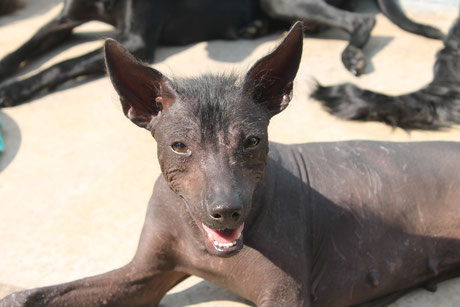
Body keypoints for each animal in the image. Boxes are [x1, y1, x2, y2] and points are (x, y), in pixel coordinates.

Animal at [0, 22, 460, 307]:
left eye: (252, 141)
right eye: (180, 146)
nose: (226, 211)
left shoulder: (285, 295)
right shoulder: (143, 277)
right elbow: (24, 295)